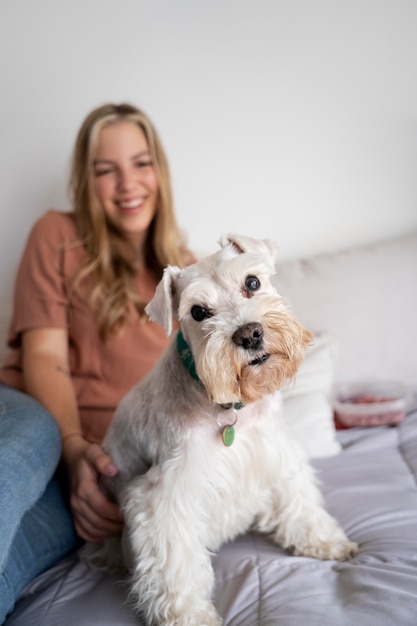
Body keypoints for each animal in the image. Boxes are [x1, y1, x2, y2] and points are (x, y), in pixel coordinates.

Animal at [86, 234, 356, 624]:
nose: (249, 334)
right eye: (199, 312)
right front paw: (190, 615)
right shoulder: (163, 498)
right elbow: (175, 564)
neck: (229, 408)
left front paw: (324, 540)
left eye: (252, 283)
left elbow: (299, 502)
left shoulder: (276, 453)